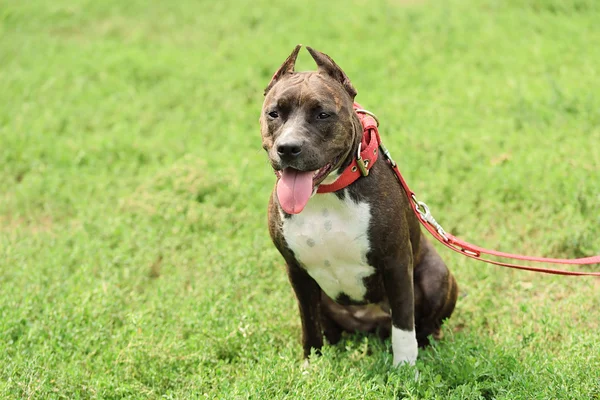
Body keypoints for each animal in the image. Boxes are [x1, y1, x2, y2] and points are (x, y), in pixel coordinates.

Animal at [258, 45, 460, 368]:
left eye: (323, 114)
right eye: (274, 113)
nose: (288, 148)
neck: (325, 193)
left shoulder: (396, 263)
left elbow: (404, 325)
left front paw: (405, 369)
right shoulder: (297, 272)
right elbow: (308, 323)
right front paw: (311, 365)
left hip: (436, 275)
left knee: (424, 323)